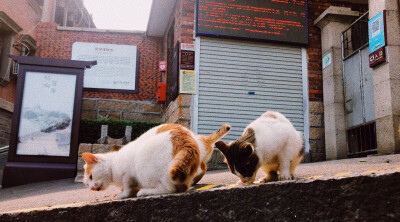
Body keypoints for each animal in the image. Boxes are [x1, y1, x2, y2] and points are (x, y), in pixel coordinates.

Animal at [81, 123, 230, 199]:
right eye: (87, 184)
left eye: (91, 176)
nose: (92, 188)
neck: (113, 165)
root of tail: (185, 138)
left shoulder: (129, 175)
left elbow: (128, 188)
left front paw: (123, 195)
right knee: (182, 186)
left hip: (145, 166)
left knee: (169, 189)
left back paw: (144, 192)